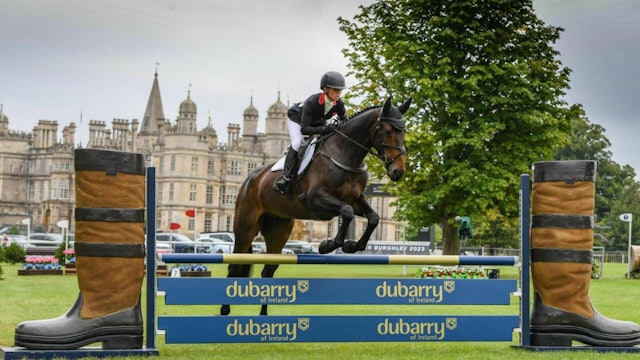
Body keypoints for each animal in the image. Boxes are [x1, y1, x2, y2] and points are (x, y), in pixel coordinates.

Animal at [220, 95, 410, 316]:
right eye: (387, 131)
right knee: (234, 267)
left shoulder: (357, 200)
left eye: (404, 131)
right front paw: (328, 245)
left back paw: (264, 316)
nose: (398, 171)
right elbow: (347, 213)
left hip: (278, 230)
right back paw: (225, 310)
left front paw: (353, 245)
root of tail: (251, 179)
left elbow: (373, 218)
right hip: (246, 229)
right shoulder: (317, 200)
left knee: (268, 270)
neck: (345, 154)